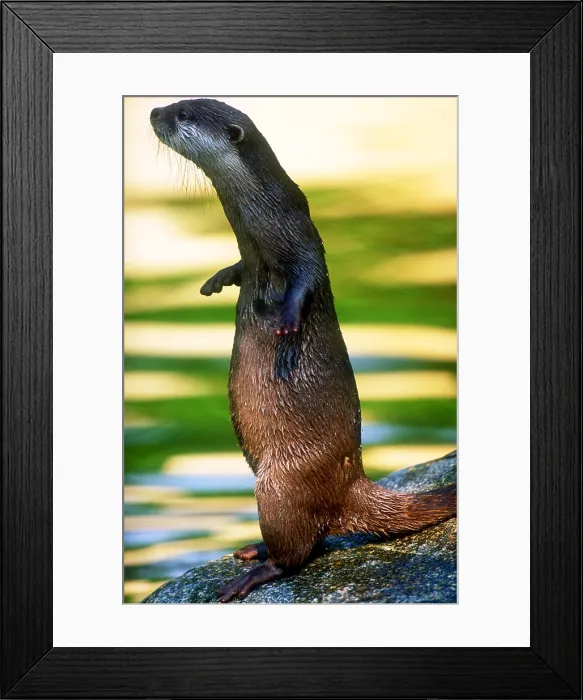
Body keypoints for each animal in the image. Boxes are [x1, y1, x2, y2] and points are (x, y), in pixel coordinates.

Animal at [150, 99, 456, 602]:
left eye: (184, 115)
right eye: (177, 103)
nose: (155, 111)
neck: (265, 227)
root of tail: (351, 486)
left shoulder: (304, 243)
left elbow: (306, 280)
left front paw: (289, 323)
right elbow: (239, 268)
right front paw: (218, 279)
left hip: (277, 487)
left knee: (298, 551)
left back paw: (255, 572)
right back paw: (253, 550)